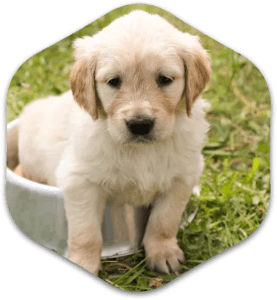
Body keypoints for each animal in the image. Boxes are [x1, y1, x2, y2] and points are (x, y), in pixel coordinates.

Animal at [17, 9, 209, 276]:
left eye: (164, 79)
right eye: (114, 81)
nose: (140, 124)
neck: (141, 151)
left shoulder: (183, 176)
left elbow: (164, 220)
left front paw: (163, 253)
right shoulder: (80, 182)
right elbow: (86, 233)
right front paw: (84, 262)